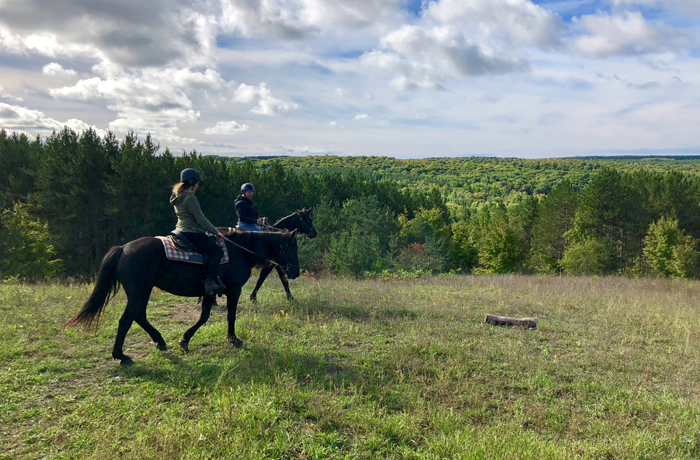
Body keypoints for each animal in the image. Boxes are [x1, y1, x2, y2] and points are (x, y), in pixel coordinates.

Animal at [67, 232, 302, 364]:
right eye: (290, 247)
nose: (296, 272)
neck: (239, 251)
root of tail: (123, 248)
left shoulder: (209, 292)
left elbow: (204, 316)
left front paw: (185, 339)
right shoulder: (234, 290)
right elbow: (230, 316)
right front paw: (233, 339)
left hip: (141, 291)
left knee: (138, 316)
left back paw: (159, 341)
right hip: (139, 290)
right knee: (127, 319)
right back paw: (121, 356)